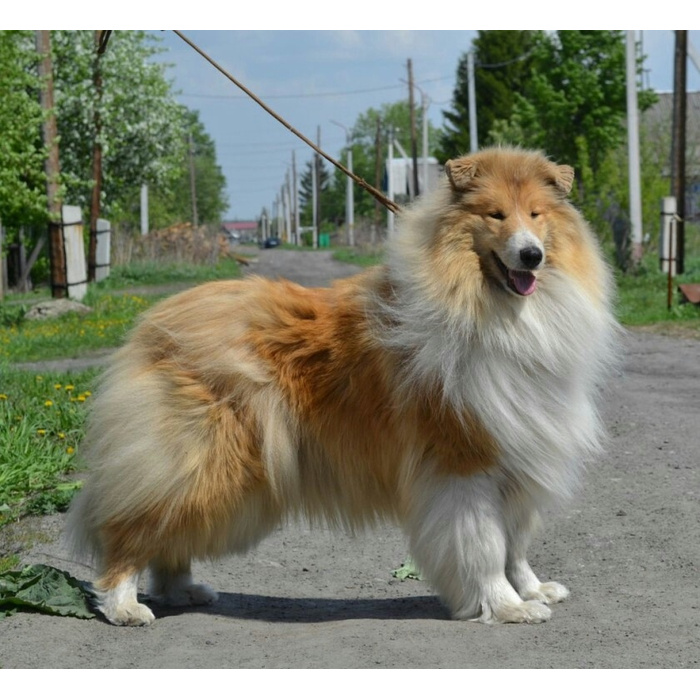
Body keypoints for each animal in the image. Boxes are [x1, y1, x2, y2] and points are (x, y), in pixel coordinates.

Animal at [67, 147, 618, 626]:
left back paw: (182, 590)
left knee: (168, 536)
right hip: (205, 463)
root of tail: (155, 322)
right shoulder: (463, 461)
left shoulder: (520, 456)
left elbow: (517, 542)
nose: (531, 255)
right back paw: (124, 606)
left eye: (537, 214)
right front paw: (507, 607)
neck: (496, 309)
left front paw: (533, 589)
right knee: (131, 531)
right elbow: (484, 544)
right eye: (496, 215)